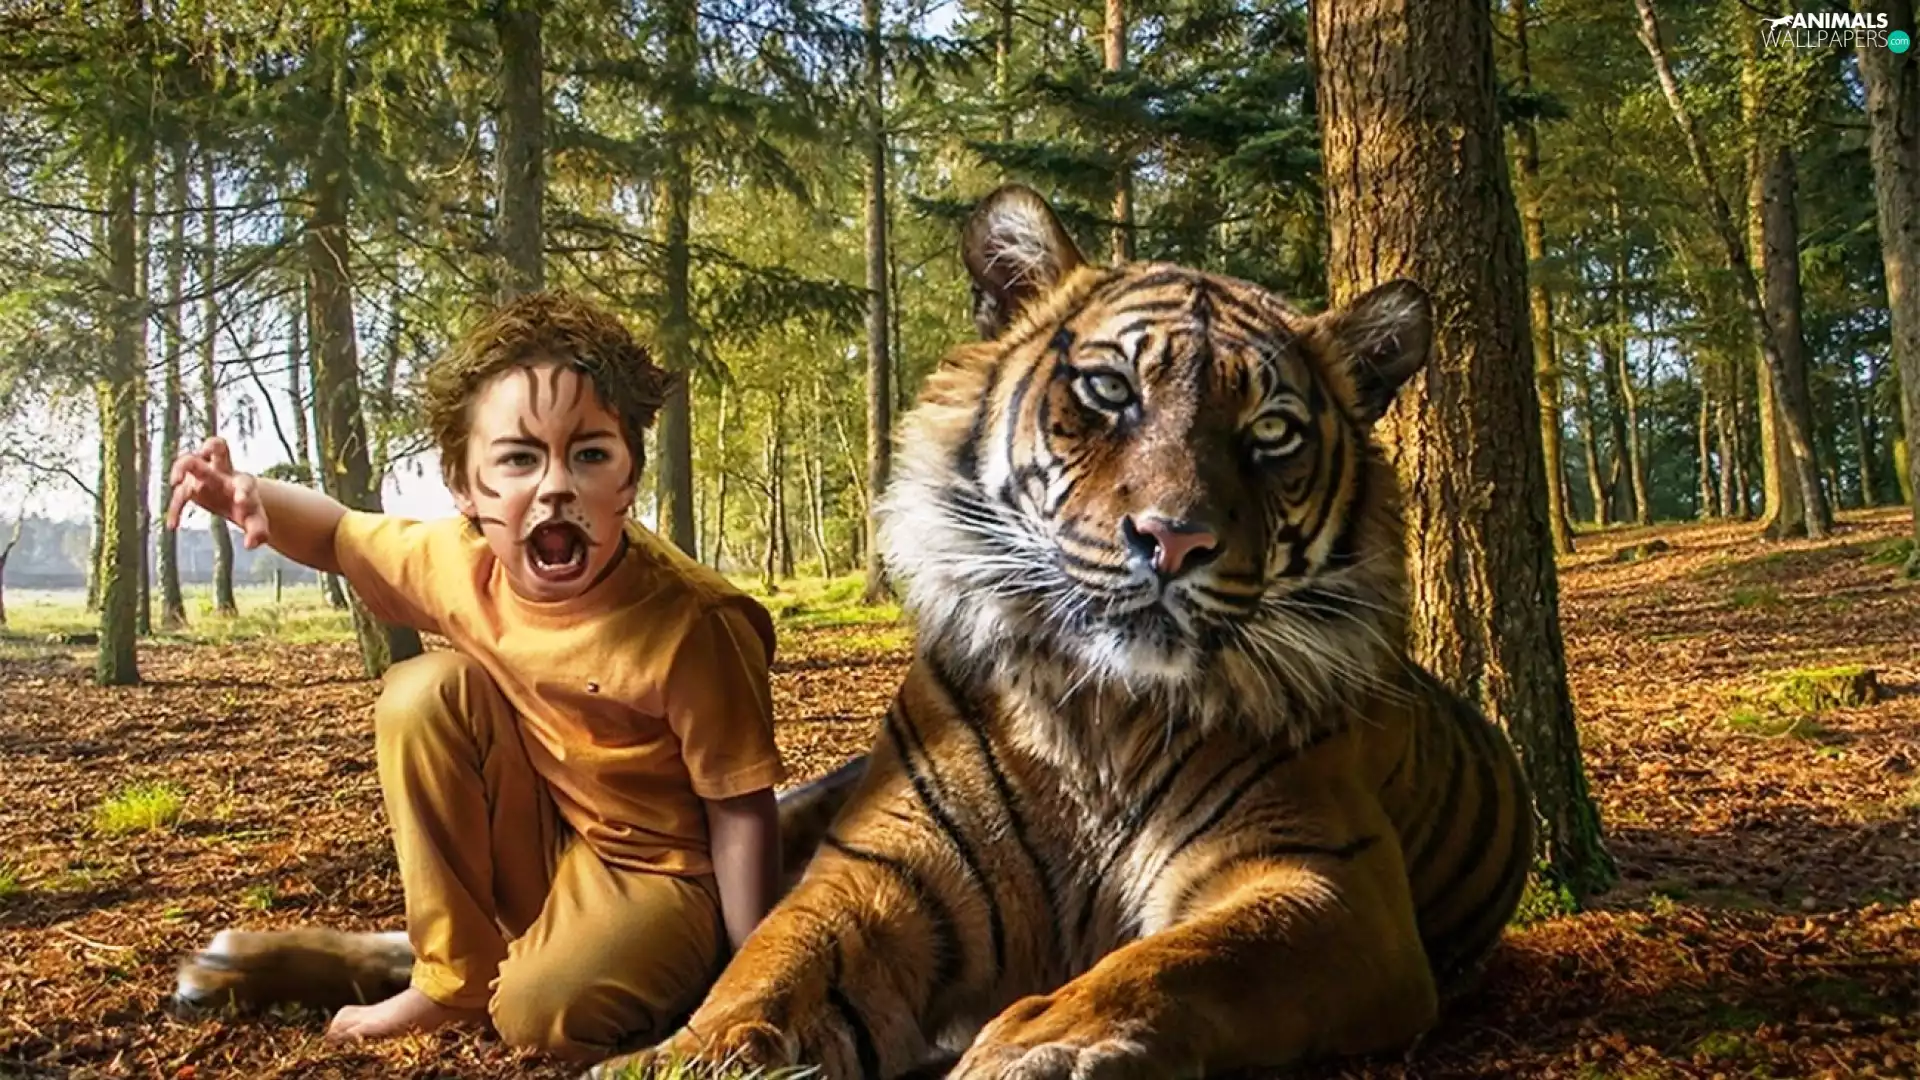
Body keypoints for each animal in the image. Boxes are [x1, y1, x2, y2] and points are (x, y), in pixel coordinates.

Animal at [589, 184, 1536, 1080]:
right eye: (1110, 390)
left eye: (1272, 431)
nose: (1174, 538)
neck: (1100, 714)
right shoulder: (877, 867)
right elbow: (771, 966)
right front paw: (673, 1054)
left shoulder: (1329, 880)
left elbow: (1183, 958)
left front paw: (1040, 1043)